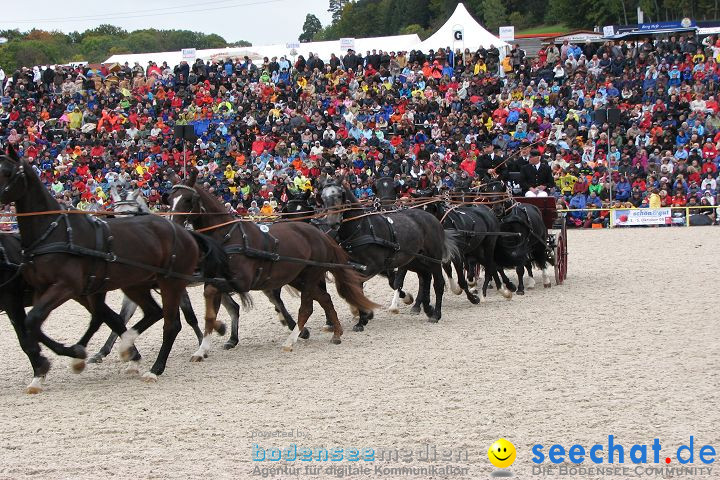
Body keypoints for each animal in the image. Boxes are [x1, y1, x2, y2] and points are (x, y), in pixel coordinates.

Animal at [167, 171, 380, 354]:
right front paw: (208, 343)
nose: (173, 225)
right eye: (170, 199)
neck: (228, 236)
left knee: (309, 306)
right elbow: (216, 302)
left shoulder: (241, 281)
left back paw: (296, 337)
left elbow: (216, 297)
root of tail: (320, 235)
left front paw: (219, 329)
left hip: (310, 276)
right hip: (299, 277)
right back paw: (334, 331)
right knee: (324, 298)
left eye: (188, 199)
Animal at [320, 176, 458, 326]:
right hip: (414, 259)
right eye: (322, 197)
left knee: (438, 283)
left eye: (340, 195)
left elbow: (361, 285)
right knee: (425, 277)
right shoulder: (353, 266)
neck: (362, 228)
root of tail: (432, 219)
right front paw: (363, 316)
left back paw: (436, 314)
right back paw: (427, 308)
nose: (332, 222)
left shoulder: (374, 266)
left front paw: (362, 318)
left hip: (434, 258)